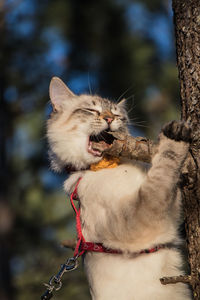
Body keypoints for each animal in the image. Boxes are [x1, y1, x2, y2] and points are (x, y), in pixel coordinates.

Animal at [46, 77, 191, 300]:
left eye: (116, 114)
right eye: (91, 110)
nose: (108, 119)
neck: (111, 166)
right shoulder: (138, 216)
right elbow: (162, 170)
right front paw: (174, 137)